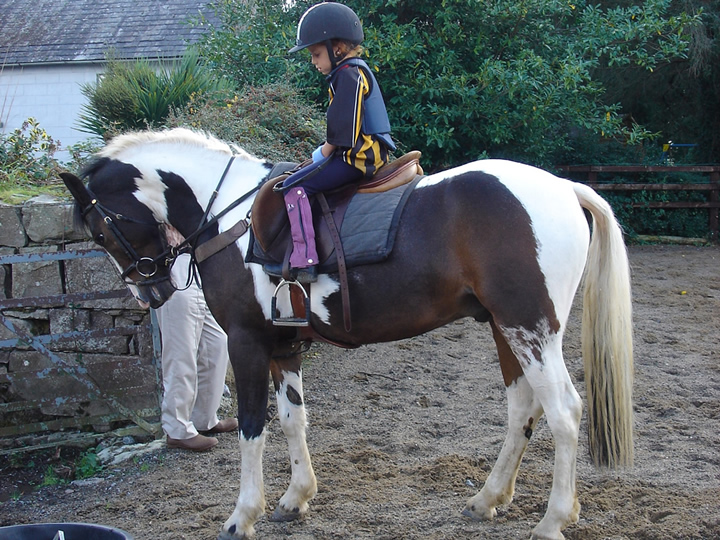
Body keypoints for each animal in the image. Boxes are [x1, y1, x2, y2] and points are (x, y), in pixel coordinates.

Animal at [62, 127, 636, 540]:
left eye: (100, 230)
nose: (150, 292)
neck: (233, 220)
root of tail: (564, 188)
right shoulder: (284, 347)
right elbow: (292, 421)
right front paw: (295, 497)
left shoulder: (246, 343)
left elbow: (251, 428)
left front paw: (242, 515)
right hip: (506, 329)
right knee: (523, 410)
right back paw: (489, 498)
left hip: (529, 329)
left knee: (564, 413)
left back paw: (553, 519)